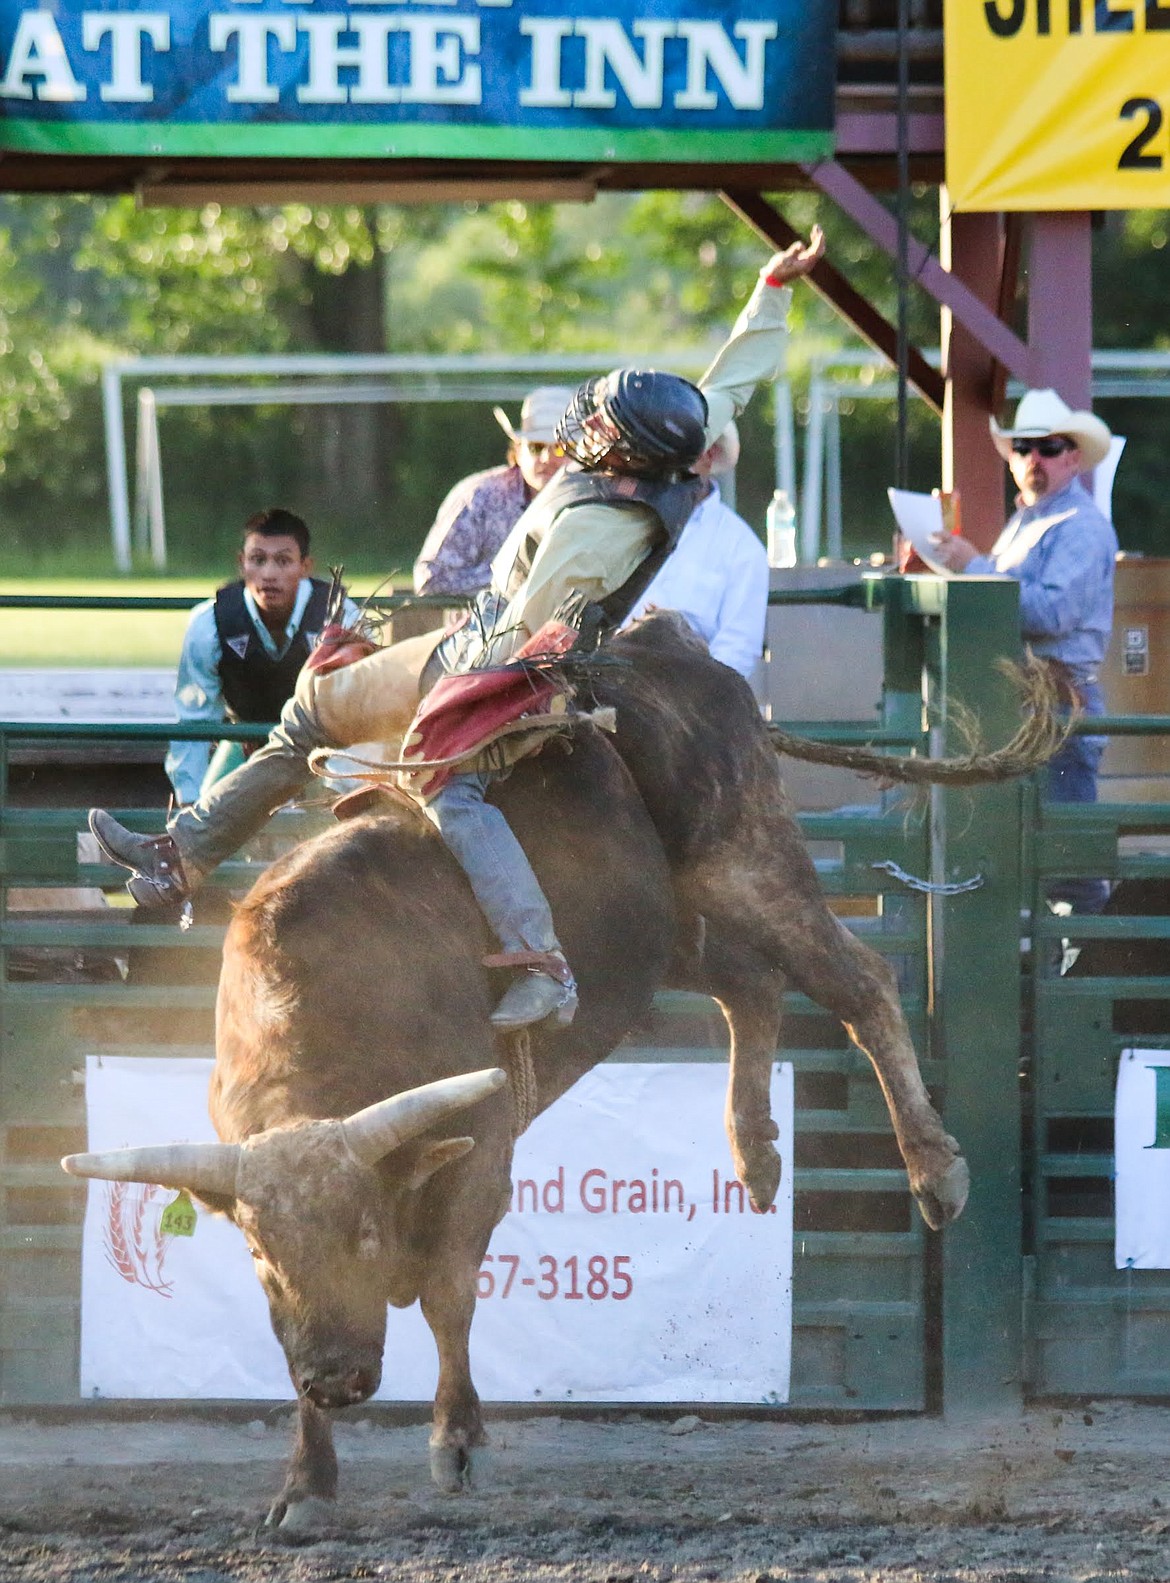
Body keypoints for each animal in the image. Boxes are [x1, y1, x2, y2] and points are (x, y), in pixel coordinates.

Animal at [61, 617, 1006, 1532]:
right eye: (259, 1253)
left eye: (365, 1231)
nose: (334, 1377)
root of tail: (656, 644)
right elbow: (286, 1347)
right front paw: (307, 1485)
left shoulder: (481, 1148)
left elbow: (448, 1292)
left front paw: (458, 1442)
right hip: (668, 927)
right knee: (751, 985)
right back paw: (758, 1153)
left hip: (749, 861)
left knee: (857, 983)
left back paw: (934, 1172)